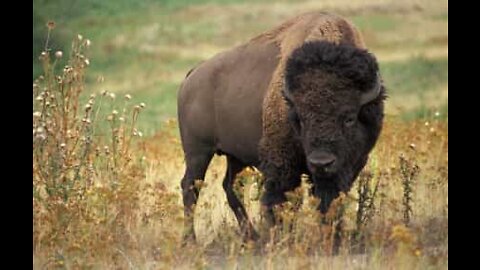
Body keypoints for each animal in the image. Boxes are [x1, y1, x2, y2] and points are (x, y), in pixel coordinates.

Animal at [176, 11, 386, 242]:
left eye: (349, 118)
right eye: (301, 119)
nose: (321, 162)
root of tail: (192, 75)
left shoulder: (349, 166)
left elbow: (329, 201)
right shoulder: (282, 164)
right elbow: (281, 201)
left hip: (235, 156)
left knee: (230, 187)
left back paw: (252, 237)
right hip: (198, 151)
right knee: (190, 187)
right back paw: (190, 240)